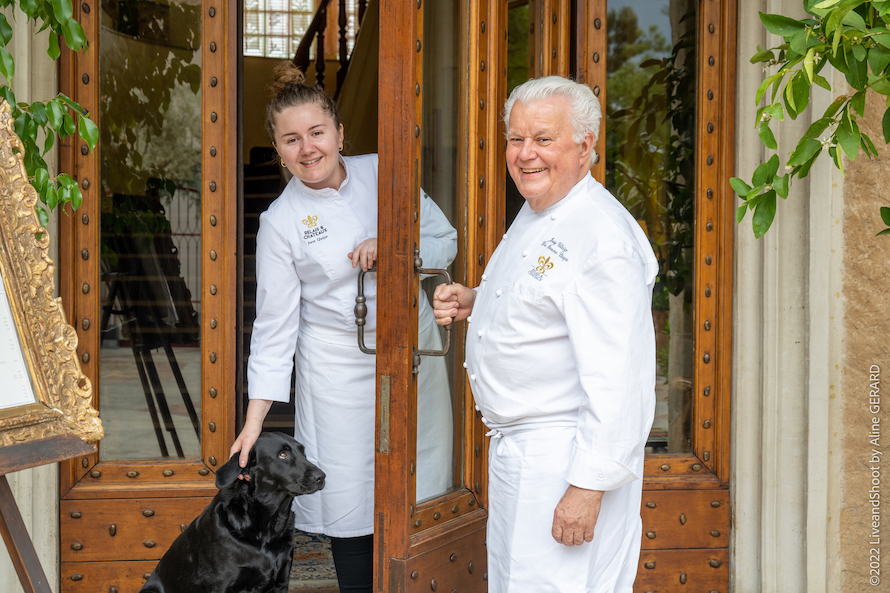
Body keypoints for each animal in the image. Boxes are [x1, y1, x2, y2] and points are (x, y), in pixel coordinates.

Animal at [142, 430, 326, 592]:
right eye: (282, 455)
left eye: (303, 452)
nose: (322, 476)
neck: (267, 525)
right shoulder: (221, 584)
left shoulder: (281, 582)